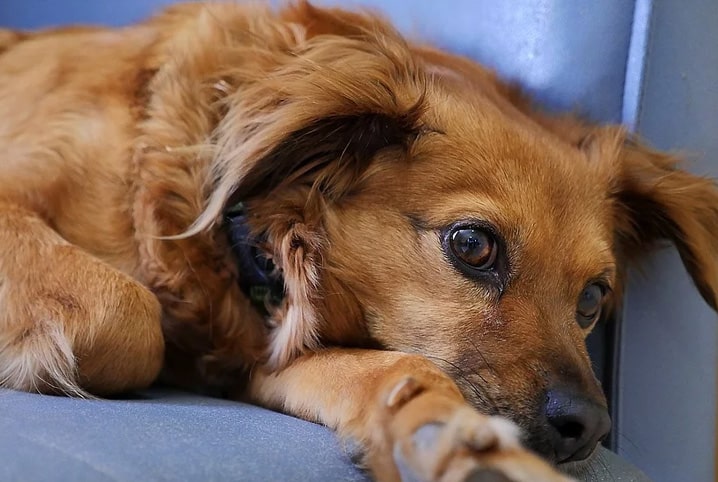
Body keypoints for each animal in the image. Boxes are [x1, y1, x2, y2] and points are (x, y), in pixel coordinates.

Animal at [1, 1, 718, 480]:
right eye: (473, 246)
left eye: (592, 297)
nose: (588, 427)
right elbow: (125, 317)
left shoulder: (260, 355)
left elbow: (397, 370)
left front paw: (452, 441)